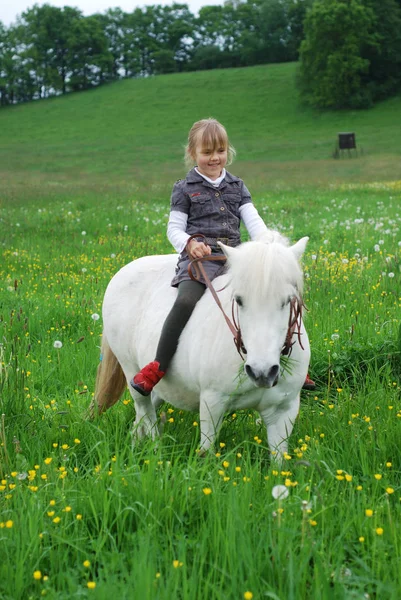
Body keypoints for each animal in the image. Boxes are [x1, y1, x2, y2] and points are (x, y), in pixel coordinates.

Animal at [93, 234, 310, 460]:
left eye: (288, 300)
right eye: (239, 300)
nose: (262, 372)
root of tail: (123, 272)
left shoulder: (283, 411)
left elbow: (279, 460)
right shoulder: (212, 403)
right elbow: (207, 452)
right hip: (129, 368)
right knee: (145, 409)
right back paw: (155, 450)